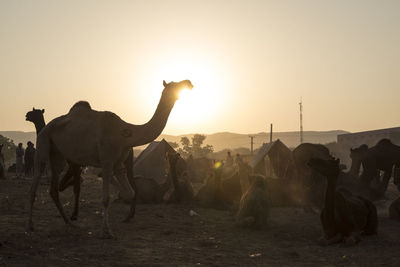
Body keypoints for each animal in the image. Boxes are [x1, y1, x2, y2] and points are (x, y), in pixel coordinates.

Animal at [27, 79, 193, 239]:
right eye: (174, 85)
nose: (189, 83)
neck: (125, 134)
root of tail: (45, 127)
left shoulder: (118, 164)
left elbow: (130, 192)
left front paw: (124, 217)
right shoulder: (106, 161)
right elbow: (106, 198)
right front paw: (106, 232)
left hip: (58, 156)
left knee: (53, 188)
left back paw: (69, 223)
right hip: (43, 143)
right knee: (35, 181)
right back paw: (31, 226)